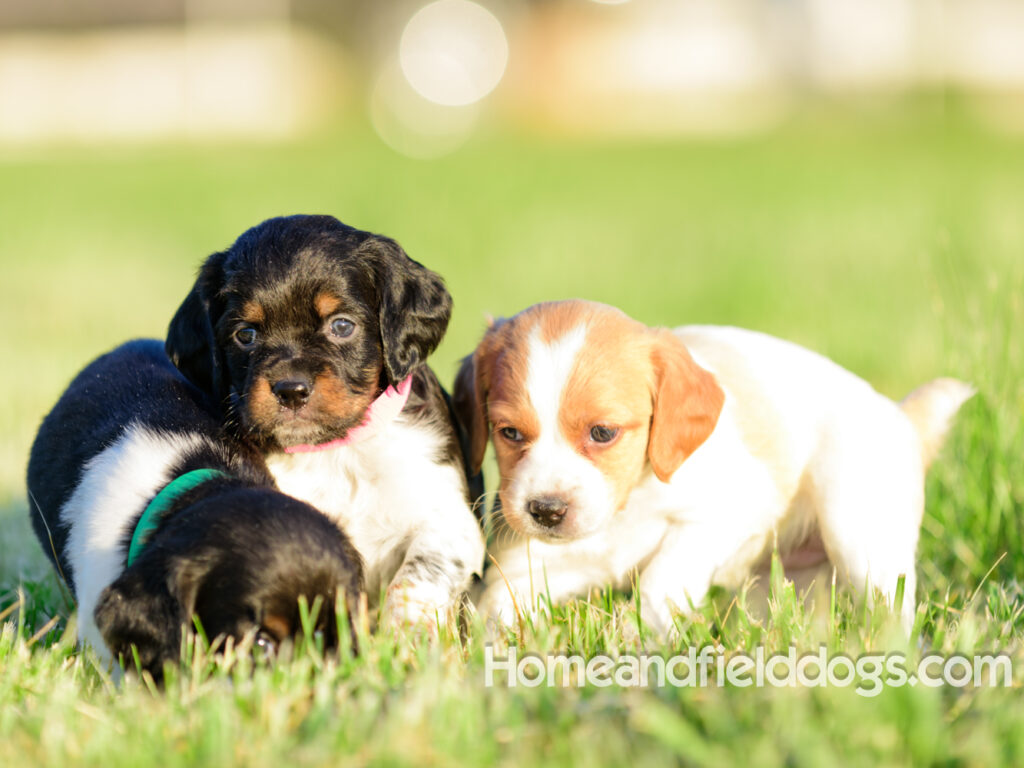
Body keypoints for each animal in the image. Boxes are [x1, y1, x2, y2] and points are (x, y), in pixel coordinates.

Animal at [165, 217, 485, 630]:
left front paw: (407, 636)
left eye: (342, 326)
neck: (336, 452)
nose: (290, 390)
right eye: (245, 334)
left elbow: (416, 579)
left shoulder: (448, 519)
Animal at [458, 303, 974, 638]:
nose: (545, 510)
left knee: (890, 606)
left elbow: (662, 577)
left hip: (859, 536)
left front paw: (646, 639)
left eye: (602, 432)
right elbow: (497, 612)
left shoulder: (724, 515)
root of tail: (902, 418)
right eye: (508, 432)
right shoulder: (523, 568)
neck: (623, 511)